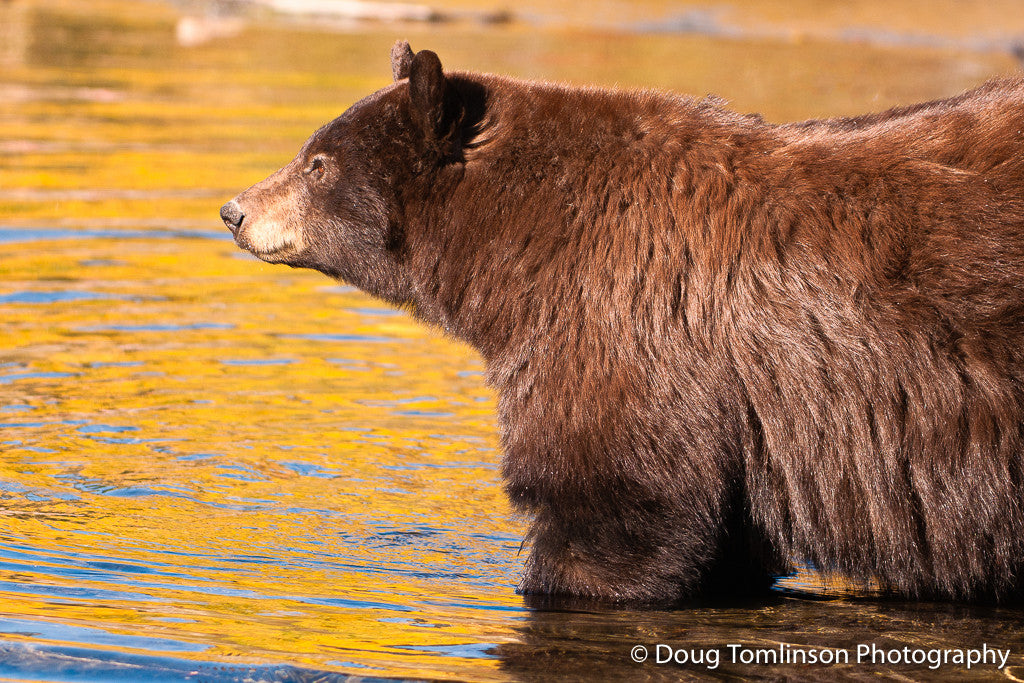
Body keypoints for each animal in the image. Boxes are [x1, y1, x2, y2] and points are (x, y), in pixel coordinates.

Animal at [221, 41, 1024, 603]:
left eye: (318, 163)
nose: (235, 210)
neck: (523, 247)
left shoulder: (628, 336)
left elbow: (612, 505)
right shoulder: (739, 428)